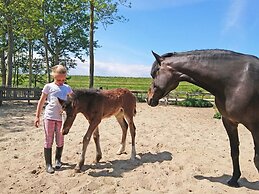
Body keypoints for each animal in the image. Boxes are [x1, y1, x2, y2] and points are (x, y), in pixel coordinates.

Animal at [147, 49, 259, 187]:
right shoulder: (229, 122)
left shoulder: (255, 127)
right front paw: (234, 180)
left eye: (155, 73)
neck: (237, 81)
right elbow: (234, 151)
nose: (148, 98)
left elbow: (257, 159)